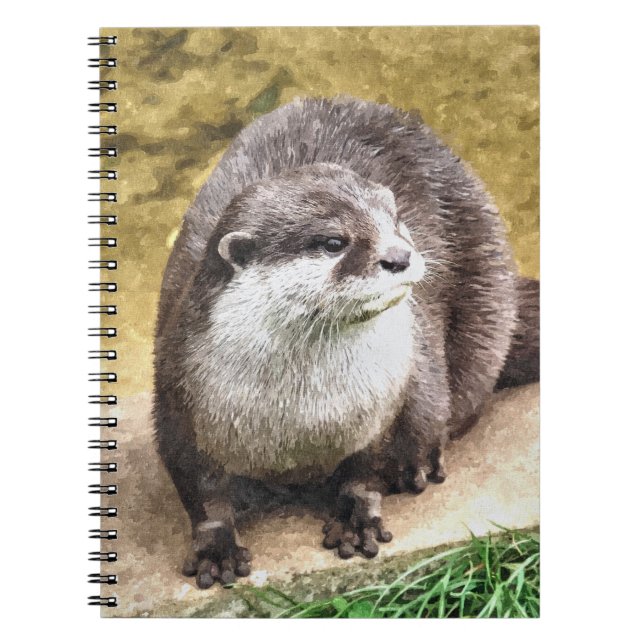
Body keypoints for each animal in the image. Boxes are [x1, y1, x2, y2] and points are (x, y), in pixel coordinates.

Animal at [154, 96, 539, 589]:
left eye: (397, 222)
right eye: (333, 242)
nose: (399, 255)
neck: (304, 420)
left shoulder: (388, 402)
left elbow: (369, 471)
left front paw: (358, 520)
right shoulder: (179, 397)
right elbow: (201, 492)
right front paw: (215, 548)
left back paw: (424, 462)